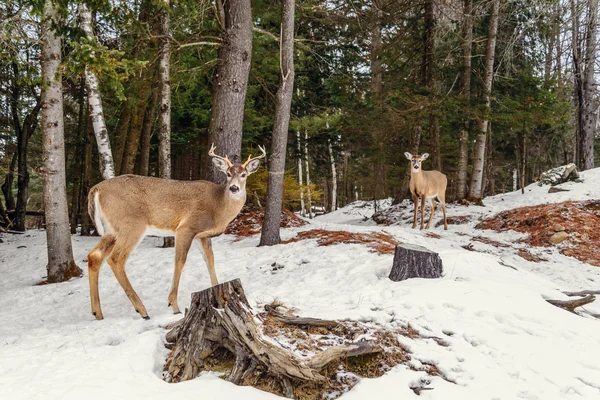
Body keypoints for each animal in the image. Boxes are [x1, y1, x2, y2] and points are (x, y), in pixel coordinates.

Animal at [86, 145, 264, 320]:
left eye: (244, 174)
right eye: (227, 174)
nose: (234, 188)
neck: (218, 206)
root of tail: (95, 189)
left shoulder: (202, 235)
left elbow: (210, 260)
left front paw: (218, 294)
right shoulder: (186, 227)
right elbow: (180, 261)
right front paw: (174, 305)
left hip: (111, 230)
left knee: (94, 257)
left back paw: (97, 312)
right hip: (131, 225)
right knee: (116, 259)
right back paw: (142, 310)